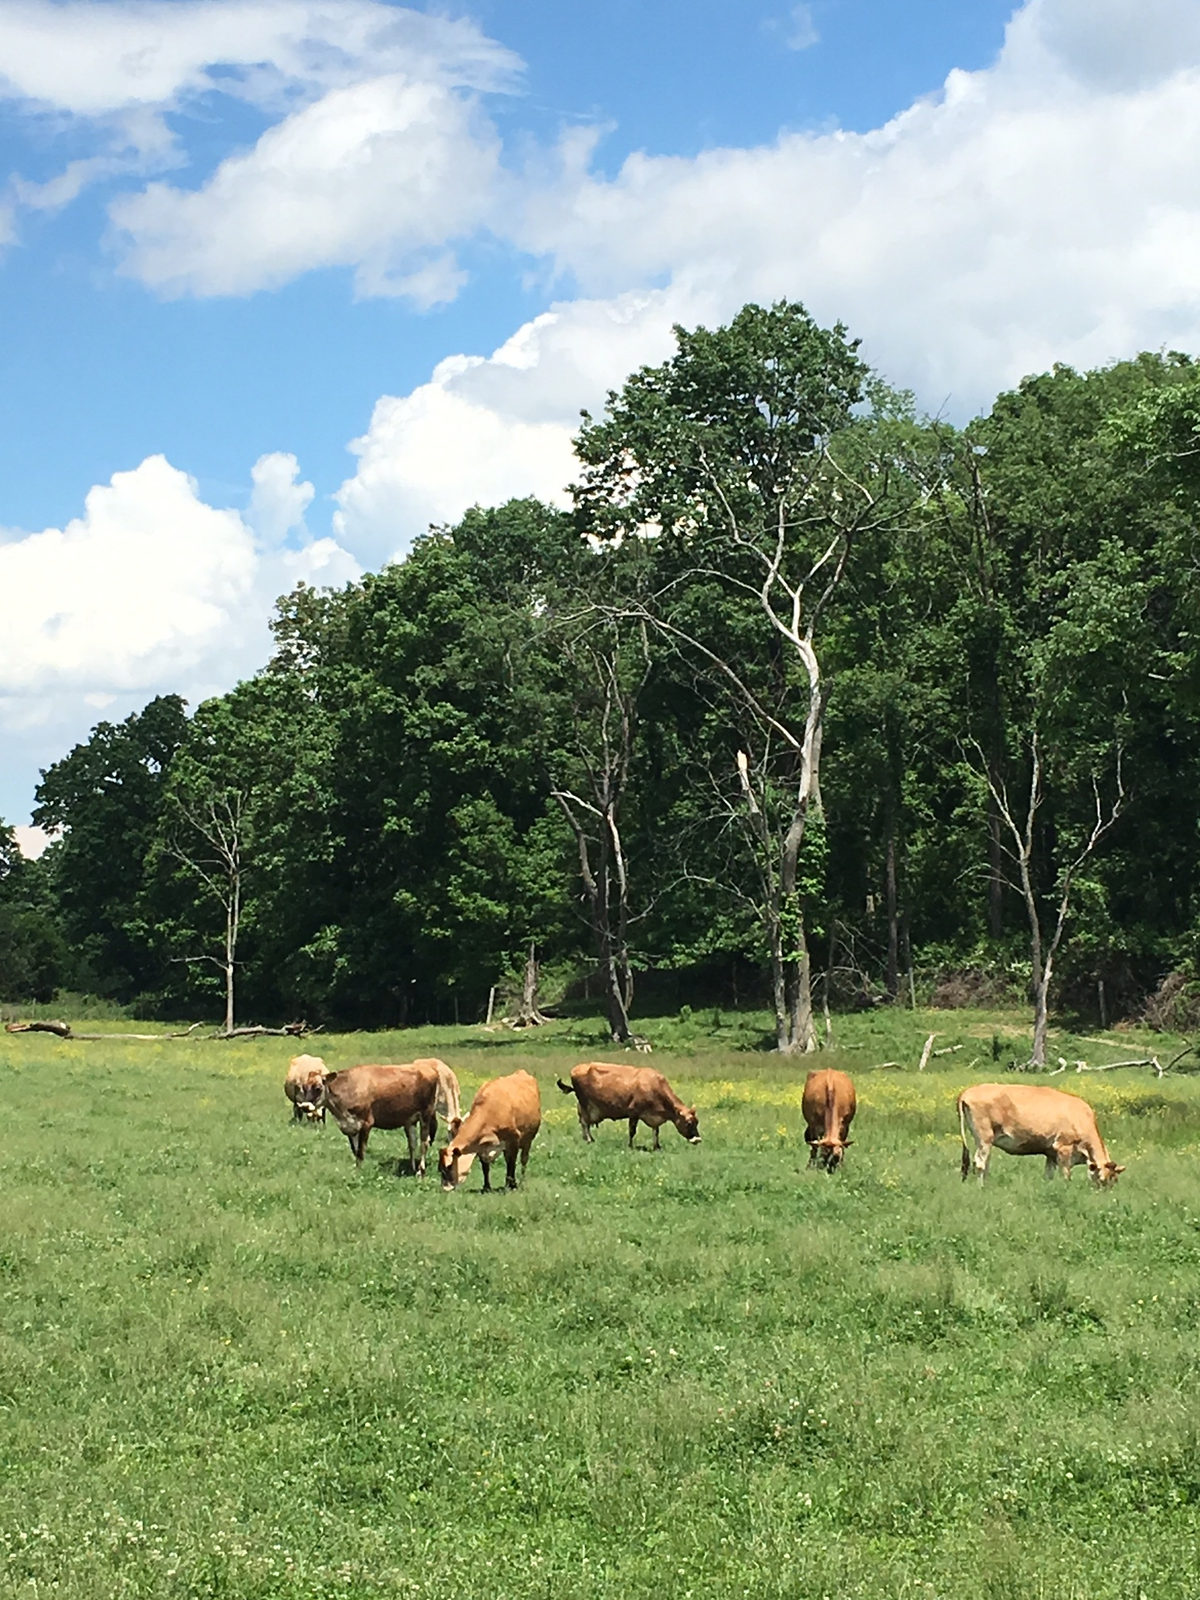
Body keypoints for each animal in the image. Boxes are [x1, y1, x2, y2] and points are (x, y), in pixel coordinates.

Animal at [556, 1061, 700, 1150]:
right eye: (688, 1123)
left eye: (697, 1122)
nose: (698, 1140)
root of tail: (576, 1068)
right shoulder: (633, 1112)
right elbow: (632, 1131)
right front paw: (630, 1146)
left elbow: (656, 1132)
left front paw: (657, 1146)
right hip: (586, 1104)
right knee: (585, 1122)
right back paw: (589, 1139)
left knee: (582, 1121)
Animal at [958, 1082, 1125, 1187]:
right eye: (1101, 1179)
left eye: (1115, 1180)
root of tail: (966, 1092)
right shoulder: (1064, 1148)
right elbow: (1066, 1174)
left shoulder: (1050, 1153)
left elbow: (1048, 1175)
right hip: (984, 1138)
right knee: (979, 1163)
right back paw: (981, 1187)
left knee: (985, 1163)